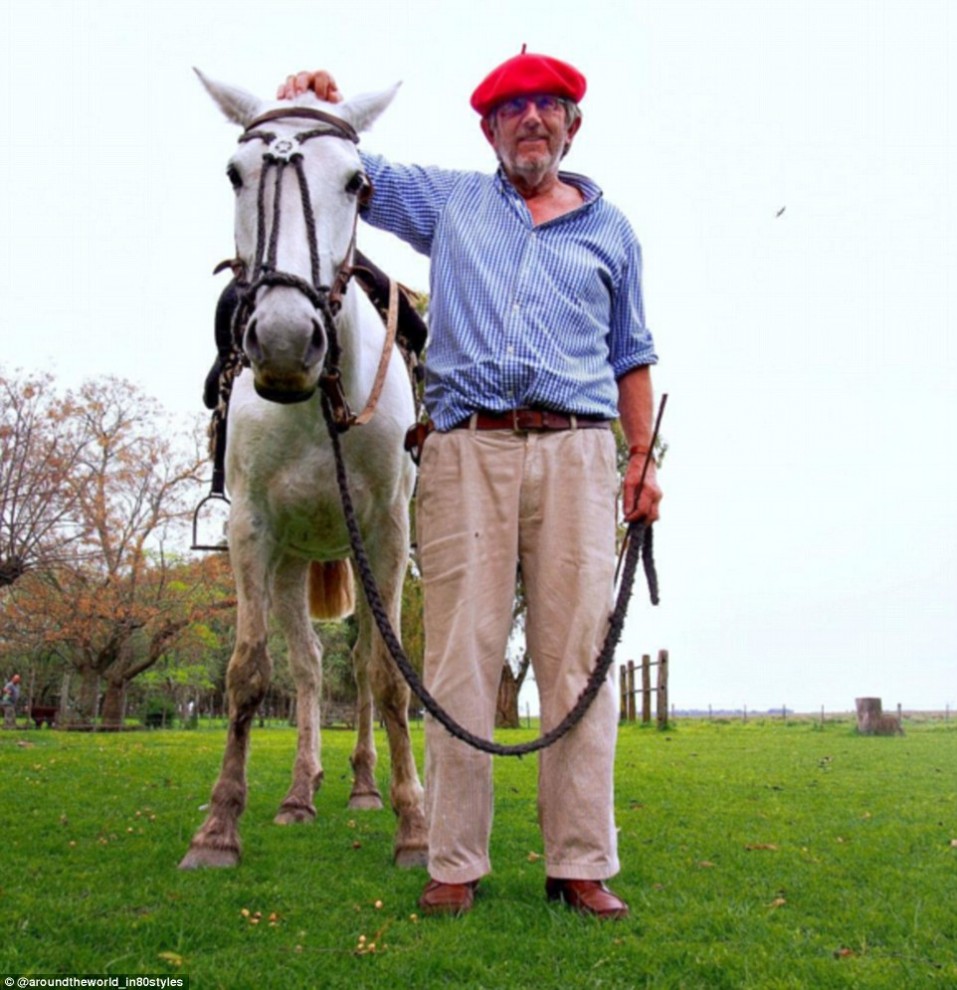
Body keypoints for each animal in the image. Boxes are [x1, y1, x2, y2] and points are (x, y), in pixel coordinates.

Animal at [181, 73, 428, 872]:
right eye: (235, 174)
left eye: (356, 183)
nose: (288, 342)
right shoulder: (252, 529)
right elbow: (248, 673)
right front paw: (218, 828)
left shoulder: (386, 534)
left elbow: (386, 675)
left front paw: (415, 828)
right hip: (292, 560)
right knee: (315, 665)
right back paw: (300, 793)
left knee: (370, 658)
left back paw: (369, 788)